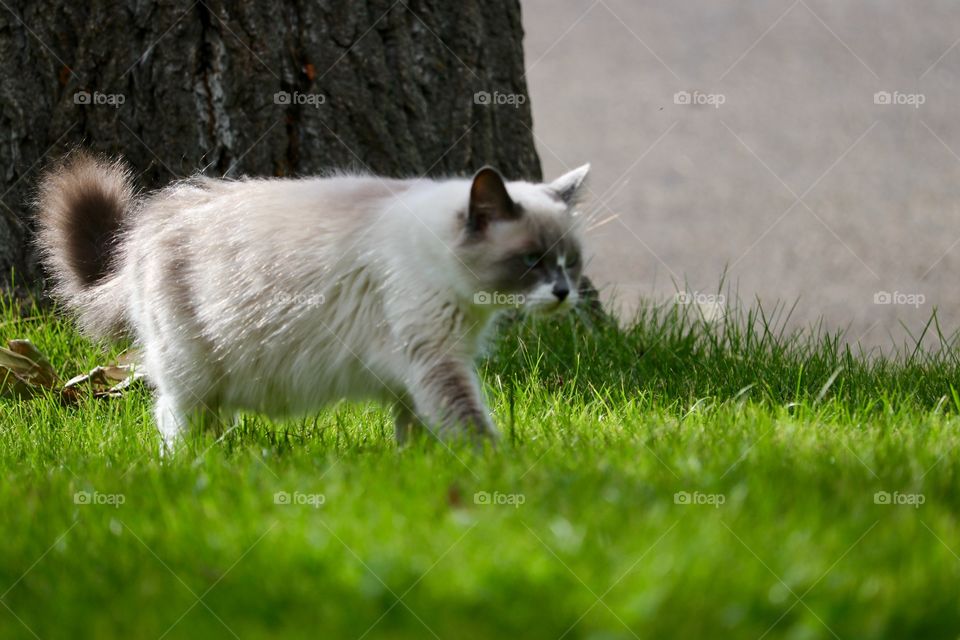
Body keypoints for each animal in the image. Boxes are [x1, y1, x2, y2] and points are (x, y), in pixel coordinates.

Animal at [37, 152, 588, 448]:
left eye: (570, 261)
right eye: (532, 260)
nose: (564, 293)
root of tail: (146, 229)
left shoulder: (416, 371)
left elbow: (413, 426)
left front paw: (416, 466)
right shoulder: (434, 358)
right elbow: (467, 420)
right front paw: (497, 469)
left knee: (212, 420)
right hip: (191, 367)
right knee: (174, 418)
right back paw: (194, 467)